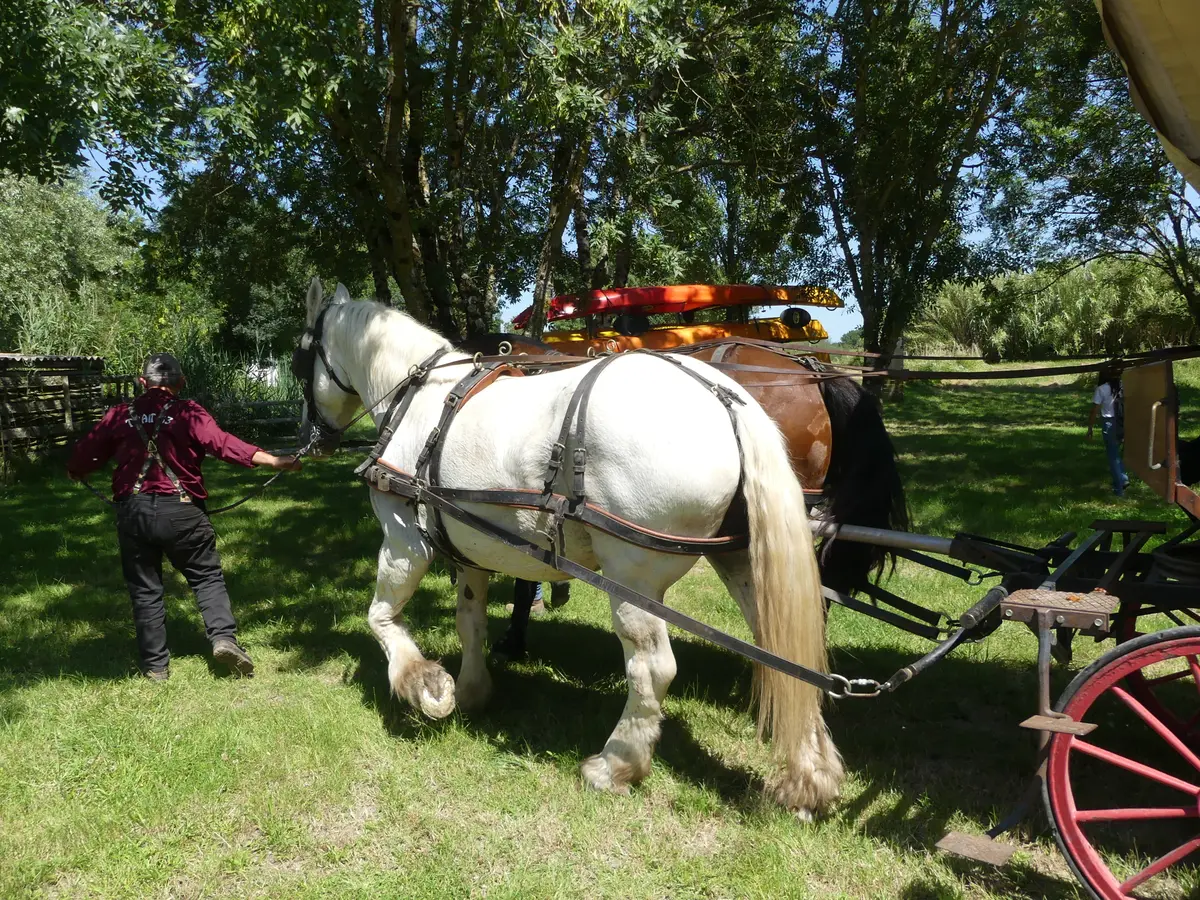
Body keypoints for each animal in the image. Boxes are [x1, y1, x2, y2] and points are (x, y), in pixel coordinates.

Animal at [294, 280, 844, 817]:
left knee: (653, 669)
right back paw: (808, 781)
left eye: (300, 359)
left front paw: (425, 685)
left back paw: (616, 764)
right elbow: (469, 621)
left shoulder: (405, 538)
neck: (418, 400)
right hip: (741, 561)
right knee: (787, 655)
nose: (311, 439)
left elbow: (380, 617)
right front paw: (472, 690)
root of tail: (725, 396)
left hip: (633, 577)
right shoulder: (472, 547)